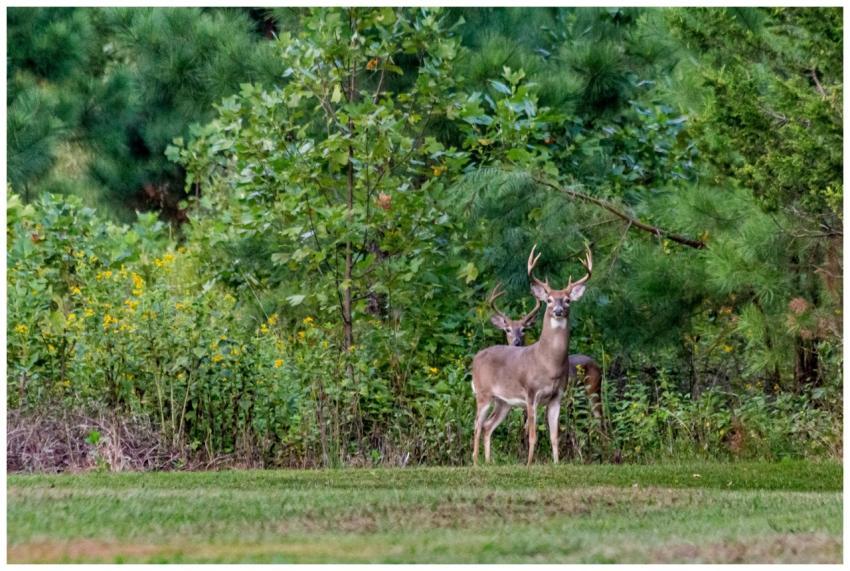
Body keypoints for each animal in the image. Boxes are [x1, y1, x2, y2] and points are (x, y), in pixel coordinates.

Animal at [471, 244, 591, 466]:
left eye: (568, 300)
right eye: (549, 300)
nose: (558, 310)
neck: (548, 362)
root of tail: (476, 358)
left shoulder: (557, 396)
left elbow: (554, 435)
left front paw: (556, 464)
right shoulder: (531, 393)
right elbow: (533, 435)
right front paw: (528, 464)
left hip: (503, 401)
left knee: (488, 426)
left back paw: (489, 462)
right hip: (483, 393)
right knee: (476, 424)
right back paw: (475, 462)